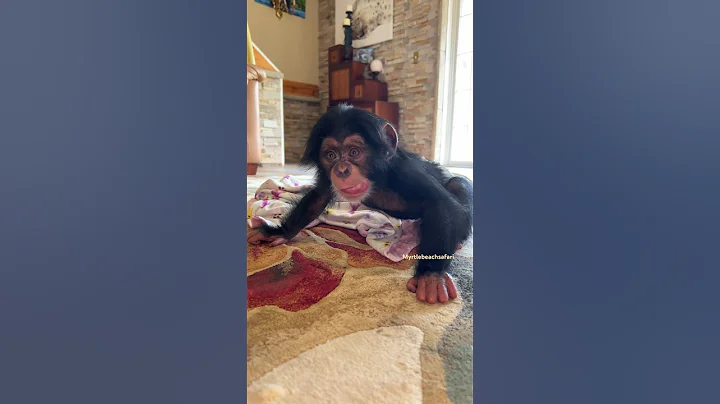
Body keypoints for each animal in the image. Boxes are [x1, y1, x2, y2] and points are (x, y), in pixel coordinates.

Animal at [248, 104, 473, 304]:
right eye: (331, 155)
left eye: (354, 152)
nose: (341, 169)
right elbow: (317, 197)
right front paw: (279, 232)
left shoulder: (405, 171)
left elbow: (438, 201)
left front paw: (431, 276)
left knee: (457, 184)